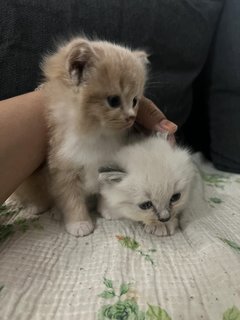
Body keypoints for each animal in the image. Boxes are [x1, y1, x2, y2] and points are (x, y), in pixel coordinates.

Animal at [6, 38, 148, 238]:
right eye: (114, 101)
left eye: (135, 100)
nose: (131, 117)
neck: (97, 135)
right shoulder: (63, 168)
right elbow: (71, 200)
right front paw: (79, 223)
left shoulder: (106, 167)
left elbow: (106, 191)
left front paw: (107, 210)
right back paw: (36, 206)